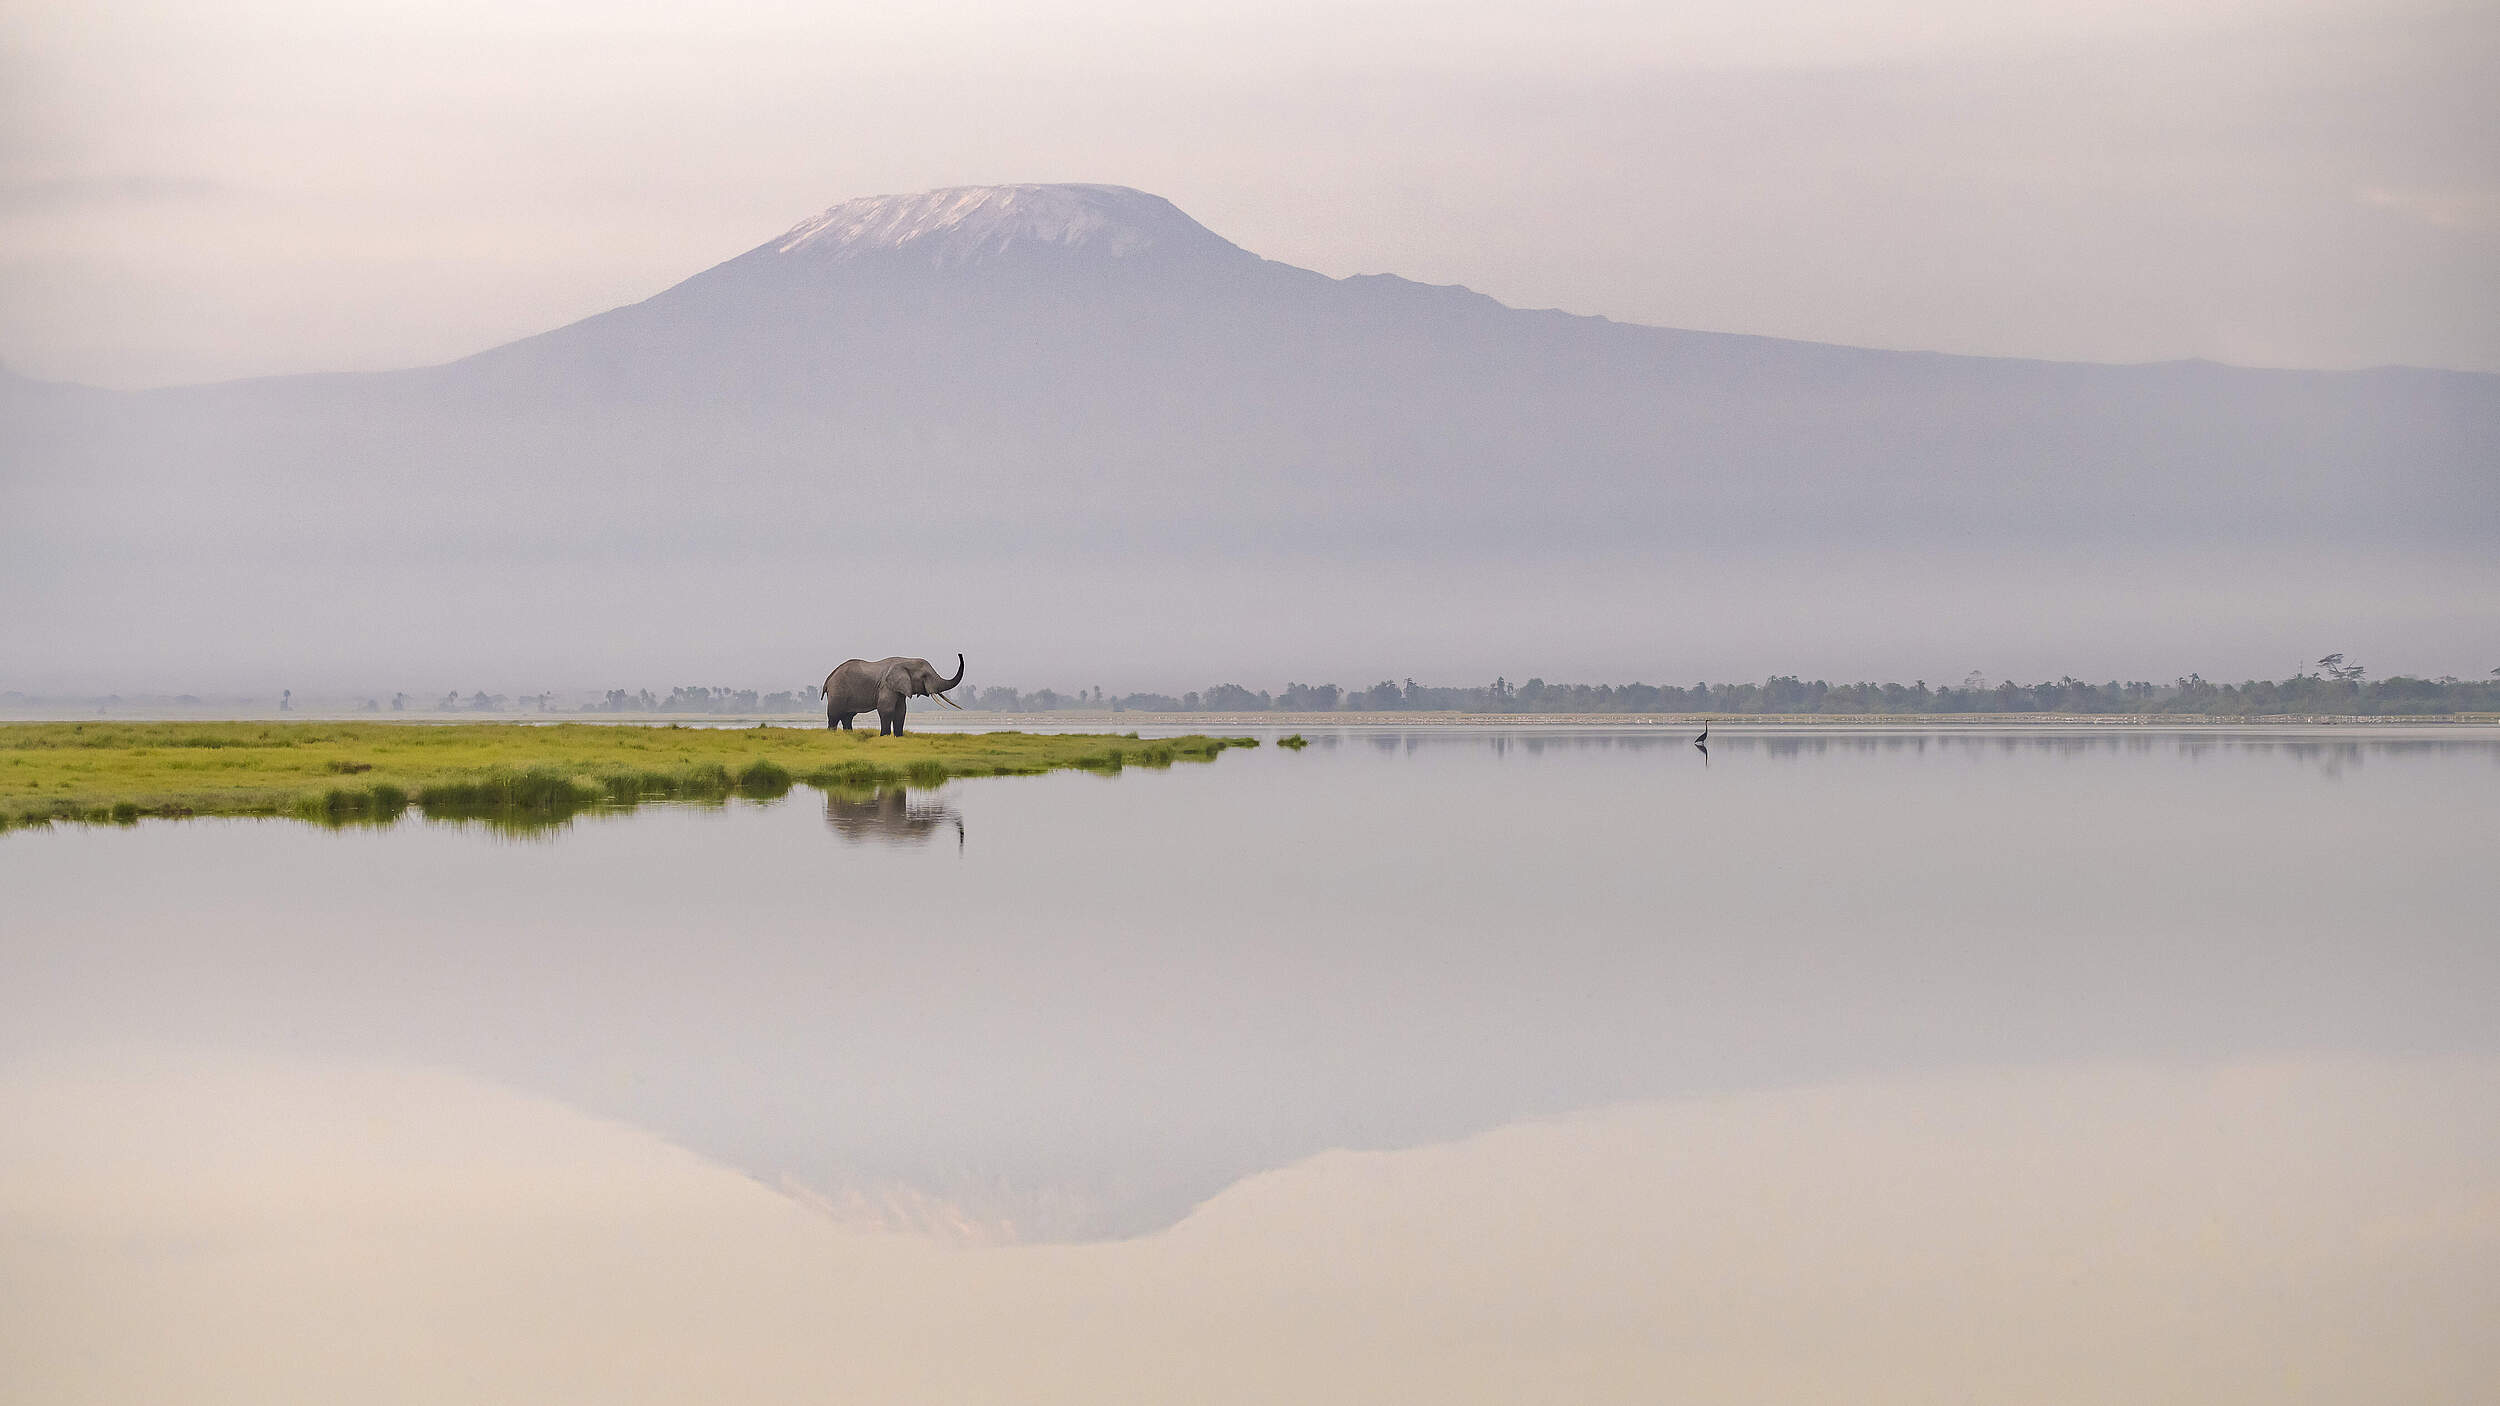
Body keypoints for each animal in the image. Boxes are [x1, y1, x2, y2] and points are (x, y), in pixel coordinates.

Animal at [823, 654, 965, 735]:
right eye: (925, 676)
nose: (960, 653)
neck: (906, 661)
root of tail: (829, 678)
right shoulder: (886, 686)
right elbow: (886, 709)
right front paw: (885, 736)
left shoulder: (900, 689)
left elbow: (901, 711)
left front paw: (899, 736)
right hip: (838, 691)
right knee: (834, 715)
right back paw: (832, 735)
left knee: (848, 717)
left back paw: (849, 734)